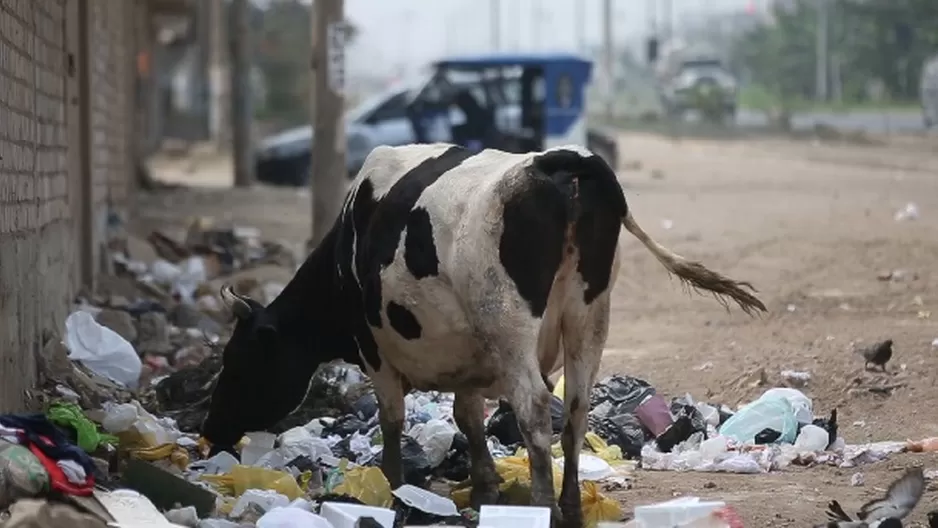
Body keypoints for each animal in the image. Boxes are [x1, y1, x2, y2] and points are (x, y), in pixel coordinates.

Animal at [201, 142, 764, 524]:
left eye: (236, 362)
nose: (210, 430)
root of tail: (557, 163)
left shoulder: (374, 347)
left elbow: (392, 419)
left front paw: (394, 490)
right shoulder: (471, 356)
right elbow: (467, 415)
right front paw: (485, 486)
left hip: (508, 320)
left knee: (535, 408)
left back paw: (542, 510)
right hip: (589, 314)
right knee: (576, 410)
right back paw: (569, 507)